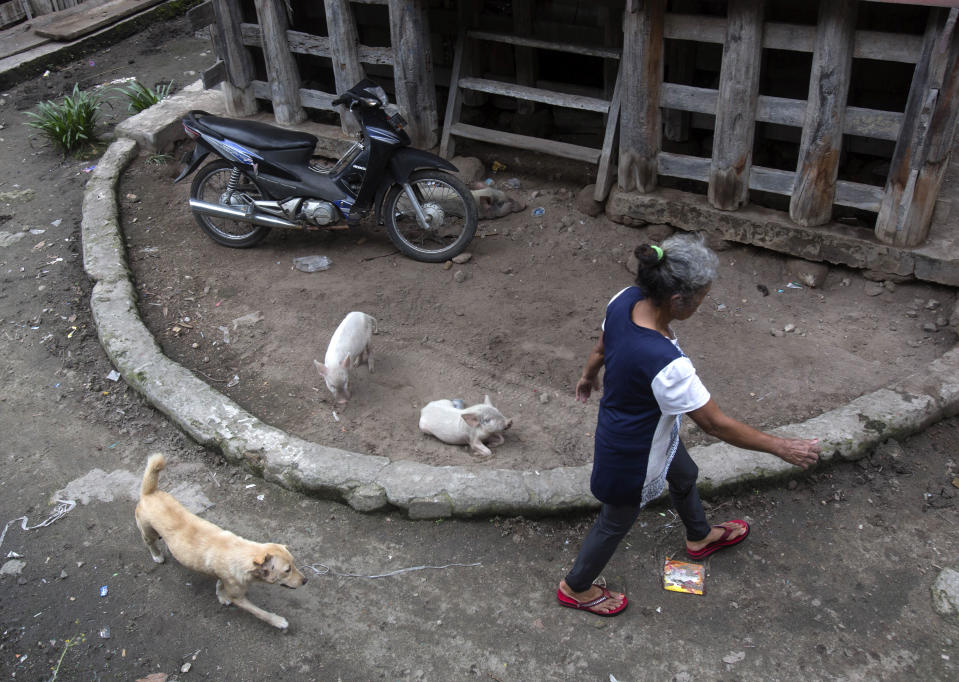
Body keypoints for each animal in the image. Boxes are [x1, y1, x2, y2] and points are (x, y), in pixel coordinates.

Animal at [135, 454, 306, 628]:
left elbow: (219, 584)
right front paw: (278, 621)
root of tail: (149, 493)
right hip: (149, 532)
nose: (305, 580)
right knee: (149, 542)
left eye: (294, 564)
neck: (243, 552)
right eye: (287, 570)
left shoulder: (223, 576)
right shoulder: (238, 597)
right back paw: (157, 555)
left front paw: (221, 595)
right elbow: (260, 613)